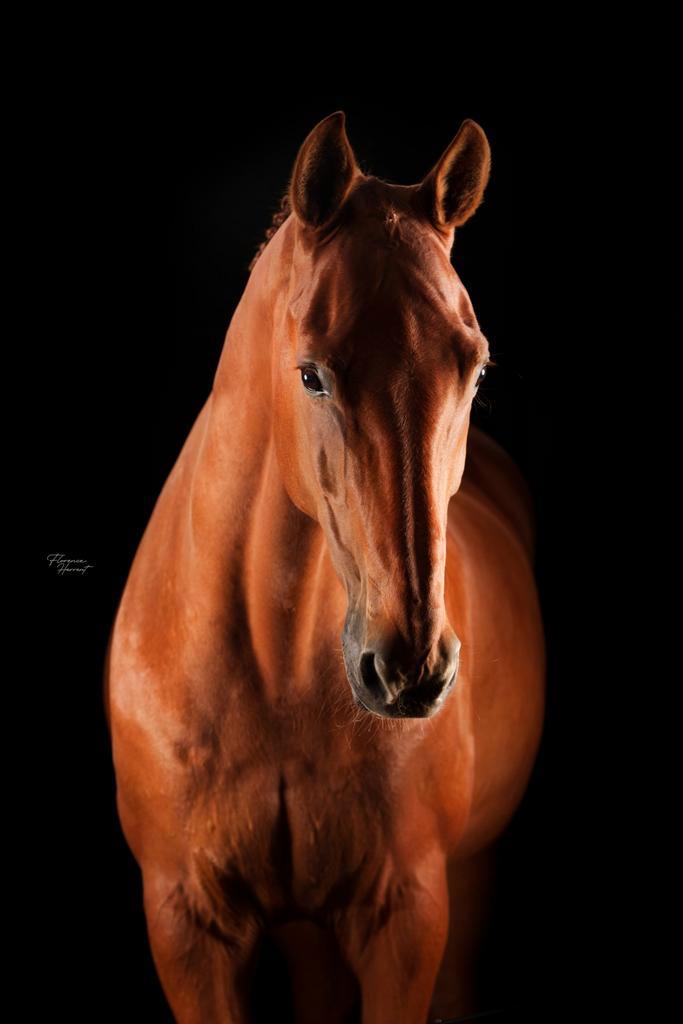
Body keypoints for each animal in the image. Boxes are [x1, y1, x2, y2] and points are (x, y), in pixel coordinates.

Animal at [105, 110, 545, 1023]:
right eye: (310, 374)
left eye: (474, 365)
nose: (411, 668)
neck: (271, 674)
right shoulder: (187, 927)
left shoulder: (406, 921)